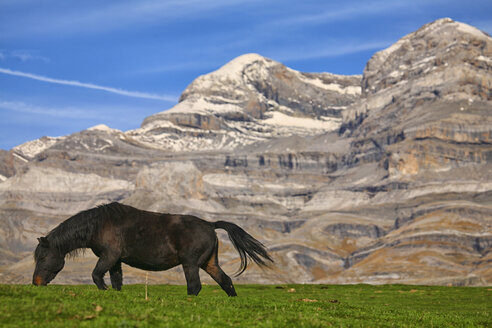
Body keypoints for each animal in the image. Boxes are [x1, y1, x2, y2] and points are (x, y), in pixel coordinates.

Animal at [32, 202, 272, 298]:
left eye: (42, 257)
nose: (35, 283)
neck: (99, 224)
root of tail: (211, 225)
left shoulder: (108, 256)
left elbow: (96, 276)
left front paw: (104, 290)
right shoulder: (115, 260)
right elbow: (117, 282)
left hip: (191, 264)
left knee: (194, 287)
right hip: (209, 263)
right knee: (226, 281)